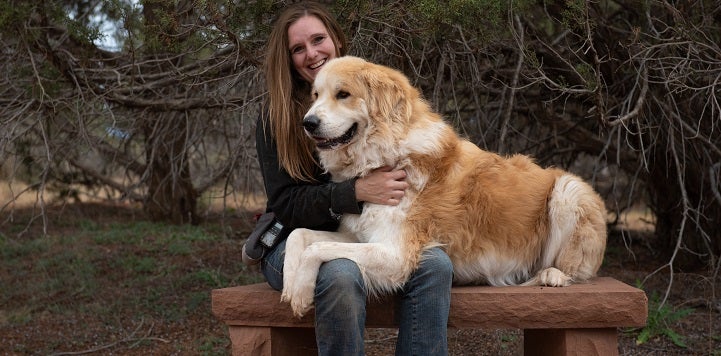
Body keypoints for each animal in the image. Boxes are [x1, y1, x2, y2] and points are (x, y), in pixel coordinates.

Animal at [278, 55, 604, 318]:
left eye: (343, 94)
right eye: (316, 95)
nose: (308, 122)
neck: (383, 153)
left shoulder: (396, 254)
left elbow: (317, 248)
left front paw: (301, 290)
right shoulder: (357, 237)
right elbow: (300, 234)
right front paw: (289, 283)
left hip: (568, 190)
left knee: (574, 269)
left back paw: (553, 275)